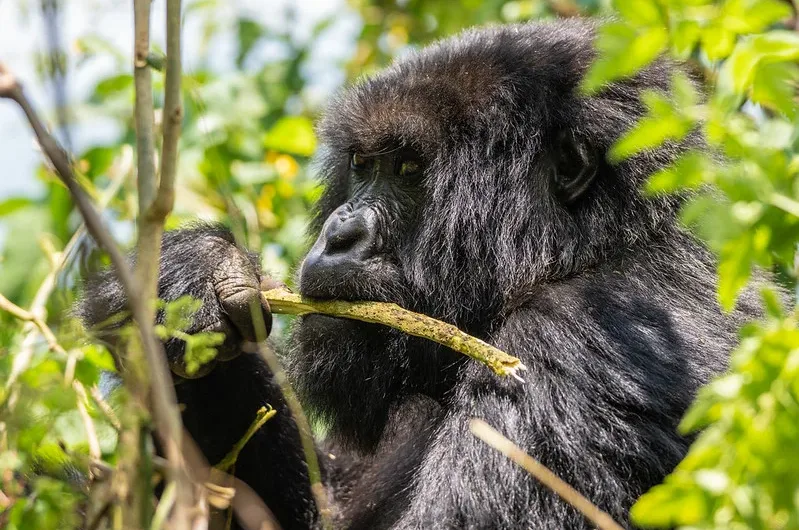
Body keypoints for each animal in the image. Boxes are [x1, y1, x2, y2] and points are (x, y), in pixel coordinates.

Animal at [79, 17, 764, 528]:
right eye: (362, 165)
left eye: (408, 170)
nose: (339, 238)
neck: (599, 246)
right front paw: (181, 284)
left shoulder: (578, 342)